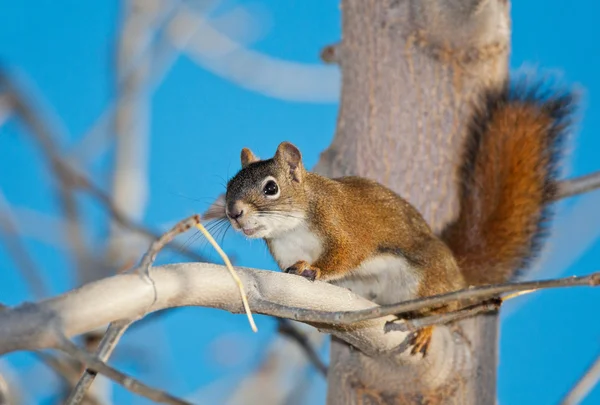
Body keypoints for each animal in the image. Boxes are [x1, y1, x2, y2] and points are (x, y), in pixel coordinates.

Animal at [205, 81, 572, 354]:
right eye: (229, 186)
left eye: (271, 188)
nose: (233, 212)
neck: (291, 229)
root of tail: (456, 272)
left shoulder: (344, 227)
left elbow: (346, 254)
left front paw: (316, 268)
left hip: (426, 282)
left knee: (445, 309)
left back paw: (428, 327)